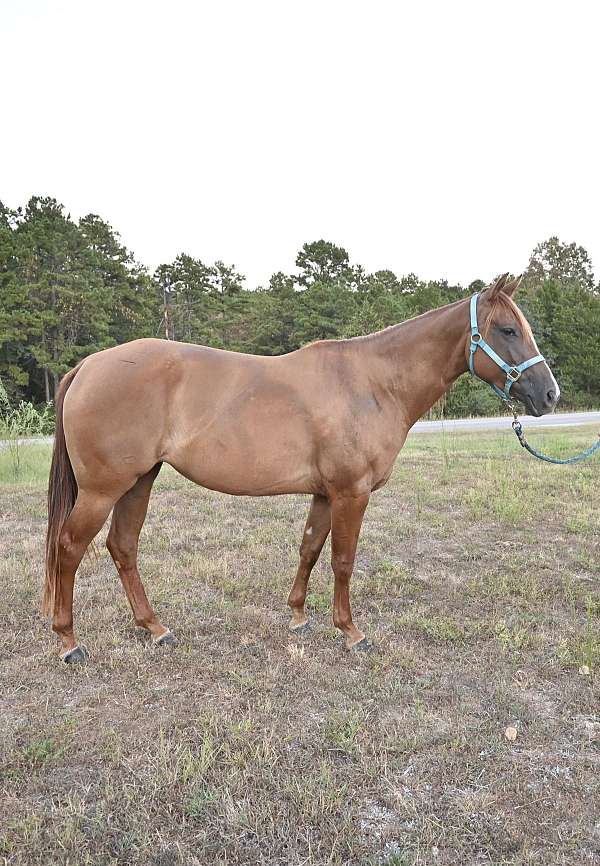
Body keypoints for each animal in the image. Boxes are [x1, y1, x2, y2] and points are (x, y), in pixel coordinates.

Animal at [44, 273, 559, 662]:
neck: (373, 383)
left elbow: (309, 549)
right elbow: (343, 560)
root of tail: (88, 365)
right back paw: (69, 642)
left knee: (122, 547)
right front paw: (351, 632)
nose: (549, 394)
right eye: (507, 331)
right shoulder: (352, 492)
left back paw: (154, 627)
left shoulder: (325, 493)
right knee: (69, 547)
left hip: (138, 481)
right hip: (104, 489)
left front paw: (299, 617)